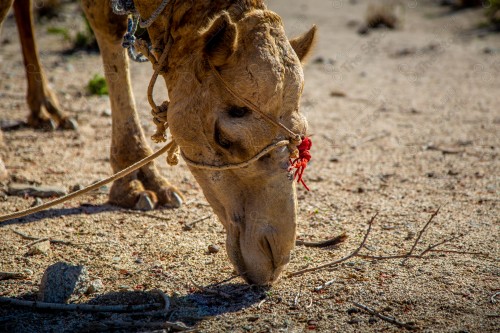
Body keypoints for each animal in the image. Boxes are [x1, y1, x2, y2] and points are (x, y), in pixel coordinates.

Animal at [0, 0, 316, 286]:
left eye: (301, 137)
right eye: (223, 138)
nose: (275, 256)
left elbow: (109, 24)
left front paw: (144, 182)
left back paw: (45, 110)